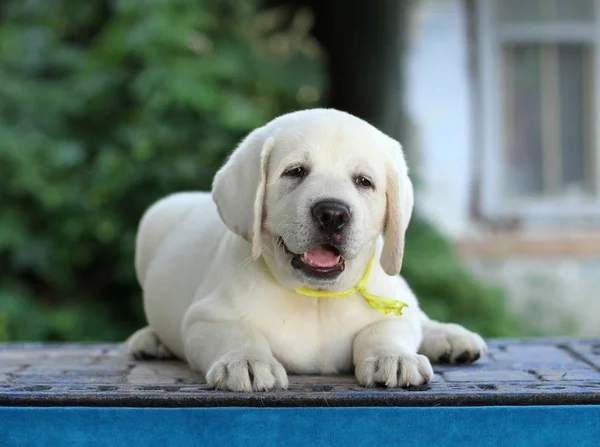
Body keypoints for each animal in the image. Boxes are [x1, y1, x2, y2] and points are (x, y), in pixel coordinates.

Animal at [127, 108, 488, 392]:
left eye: (364, 181)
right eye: (295, 171)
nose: (333, 214)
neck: (316, 296)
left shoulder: (389, 305)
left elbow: (385, 328)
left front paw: (393, 357)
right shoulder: (205, 317)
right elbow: (236, 332)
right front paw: (246, 361)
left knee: (419, 315)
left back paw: (450, 337)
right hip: (152, 220)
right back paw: (150, 339)